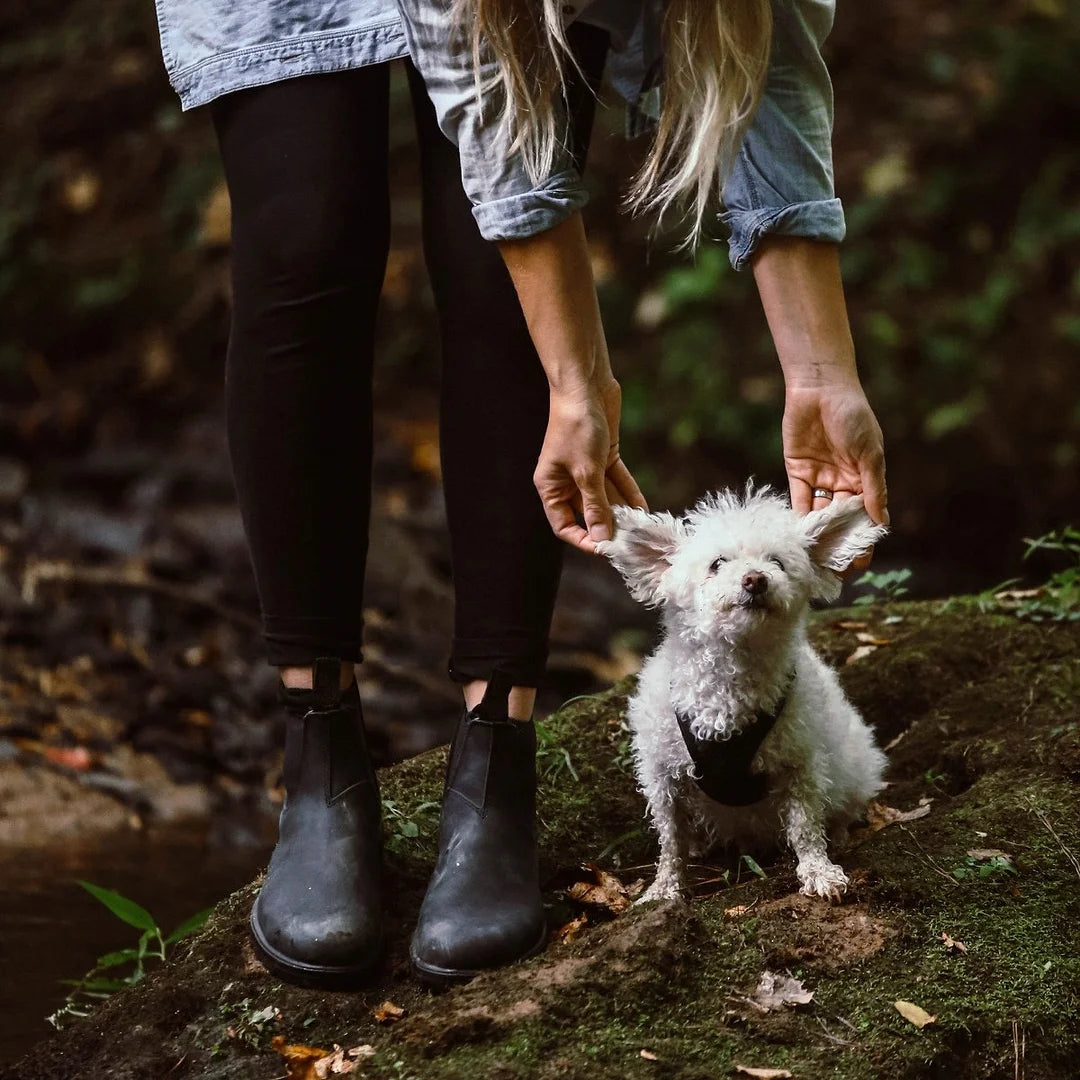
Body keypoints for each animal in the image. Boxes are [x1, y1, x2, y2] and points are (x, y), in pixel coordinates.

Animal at [600, 486, 885, 898]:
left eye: (777, 562)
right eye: (717, 563)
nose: (755, 579)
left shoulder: (800, 765)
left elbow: (805, 826)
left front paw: (818, 870)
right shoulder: (663, 774)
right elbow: (670, 840)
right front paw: (665, 888)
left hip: (855, 767)